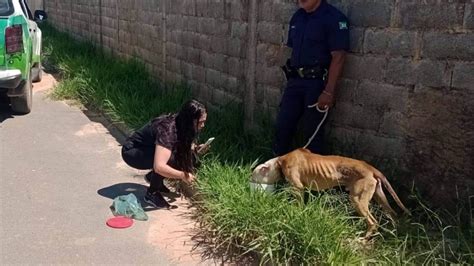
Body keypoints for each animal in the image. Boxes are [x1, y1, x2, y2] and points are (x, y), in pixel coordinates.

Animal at [252, 149, 412, 238]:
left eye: (253, 175)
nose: (249, 180)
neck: (280, 162)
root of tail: (371, 168)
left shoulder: (298, 188)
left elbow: (298, 203)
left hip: (357, 199)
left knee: (373, 222)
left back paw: (364, 239)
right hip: (380, 197)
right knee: (393, 214)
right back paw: (393, 235)